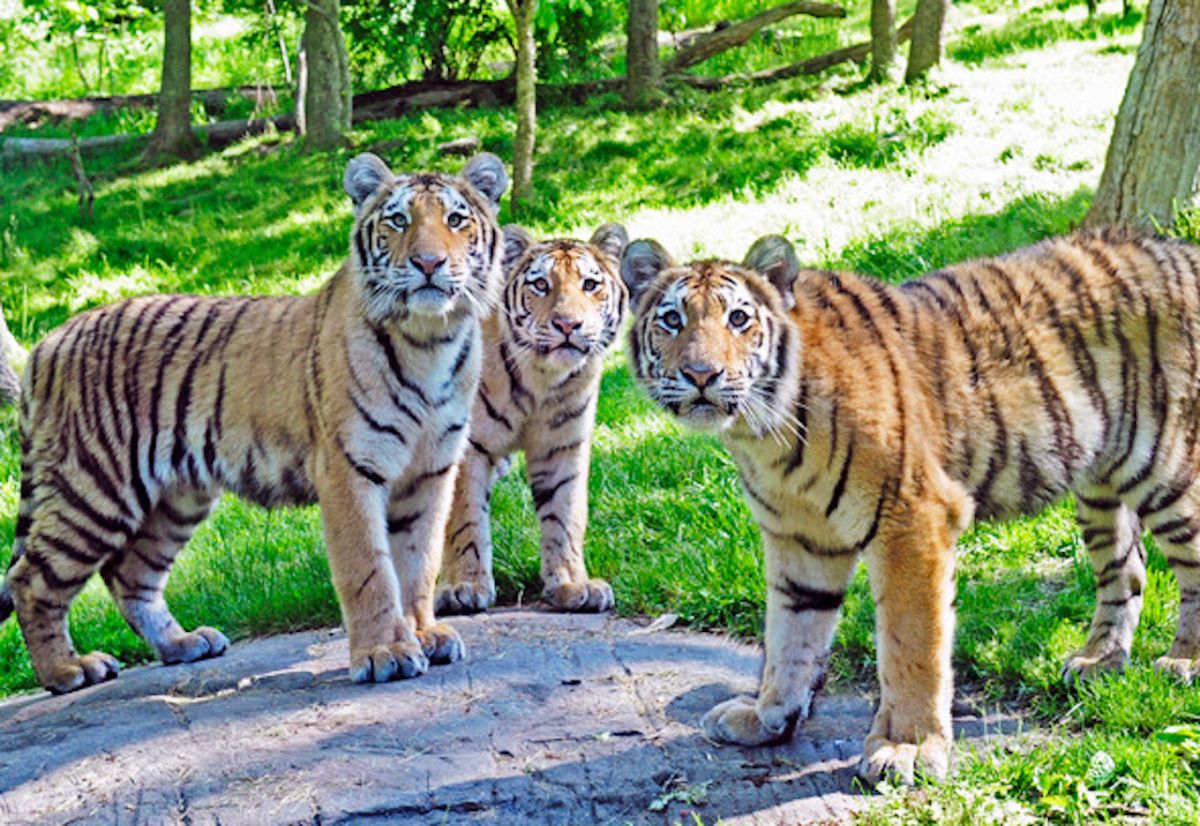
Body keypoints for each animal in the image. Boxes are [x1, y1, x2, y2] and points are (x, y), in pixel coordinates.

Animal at [0, 151, 508, 694]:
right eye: (398, 221)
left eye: (455, 219)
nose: (429, 263)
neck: (430, 338)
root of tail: (45, 345)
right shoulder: (349, 470)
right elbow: (370, 569)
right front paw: (385, 653)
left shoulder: (431, 471)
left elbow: (419, 563)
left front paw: (425, 634)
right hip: (95, 486)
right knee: (31, 578)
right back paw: (68, 670)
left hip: (177, 497)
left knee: (129, 573)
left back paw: (183, 644)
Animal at [436, 222, 628, 615]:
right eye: (541, 284)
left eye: (590, 284)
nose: (568, 324)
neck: (541, 379)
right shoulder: (467, 449)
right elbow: (465, 520)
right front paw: (464, 587)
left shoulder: (563, 447)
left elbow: (565, 516)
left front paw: (572, 585)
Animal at [623, 227, 1200, 784]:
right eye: (672, 320)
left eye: (738, 319)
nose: (702, 374)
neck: (763, 434)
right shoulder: (800, 539)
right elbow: (790, 635)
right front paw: (766, 717)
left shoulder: (911, 518)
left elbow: (910, 647)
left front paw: (908, 748)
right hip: (1100, 483)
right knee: (1128, 568)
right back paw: (1099, 661)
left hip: (1166, 467)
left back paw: (1183, 663)